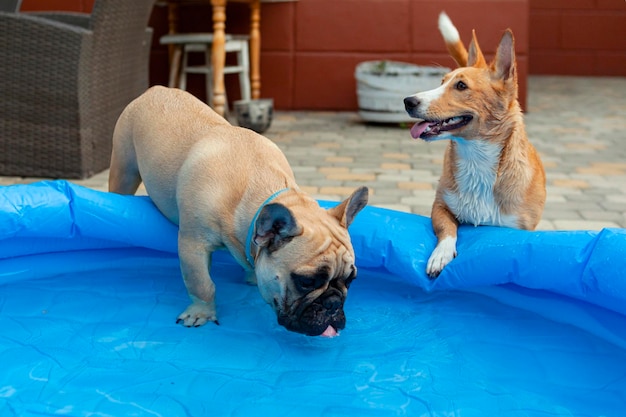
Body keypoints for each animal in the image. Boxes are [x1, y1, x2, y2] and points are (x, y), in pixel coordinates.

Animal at [402, 13, 544, 278]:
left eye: (461, 86)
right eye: (441, 81)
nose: (408, 101)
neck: (476, 158)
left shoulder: (519, 228)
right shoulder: (440, 206)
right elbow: (447, 230)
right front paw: (440, 255)